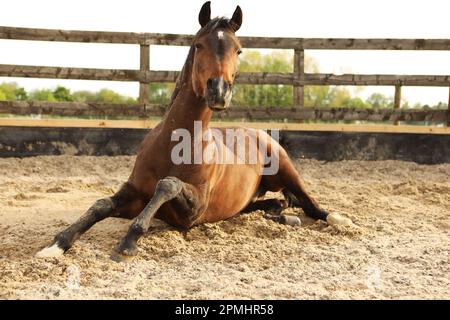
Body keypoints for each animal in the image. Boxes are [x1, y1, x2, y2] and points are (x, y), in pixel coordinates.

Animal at [36, 0, 352, 260]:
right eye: (199, 45)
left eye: (238, 49)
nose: (219, 91)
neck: (176, 144)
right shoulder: (134, 194)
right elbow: (100, 205)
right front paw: (57, 244)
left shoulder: (193, 209)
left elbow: (168, 184)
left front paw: (128, 242)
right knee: (275, 204)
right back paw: (282, 216)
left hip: (286, 168)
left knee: (310, 205)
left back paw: (338, 219)